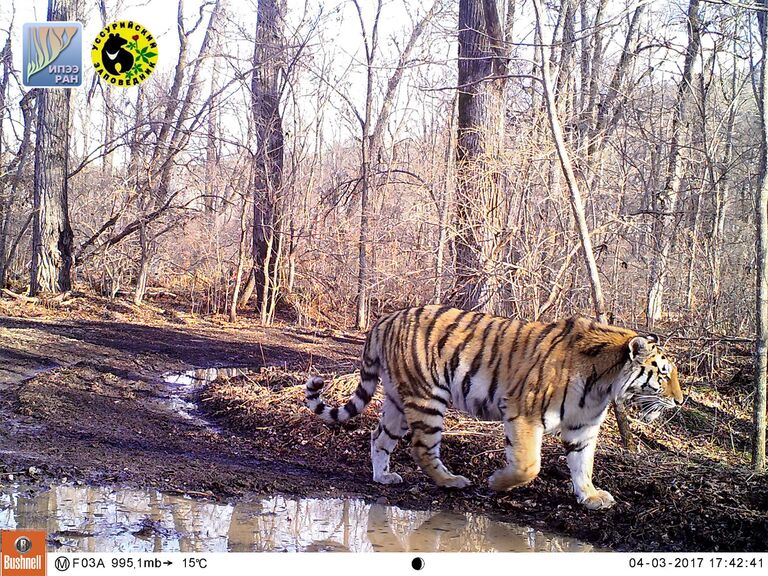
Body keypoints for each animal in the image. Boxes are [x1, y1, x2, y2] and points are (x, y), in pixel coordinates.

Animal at [304, 304, 680, 510]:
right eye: (663, 374)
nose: (679, 400)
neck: (602, 385)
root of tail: (384, 320)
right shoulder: (524, 413)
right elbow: (528, 466)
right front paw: (497, 482)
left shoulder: (582, 426)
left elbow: (582, 464)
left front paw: (589, 497)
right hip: (428, 398)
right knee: (422, 447)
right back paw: (451, 481)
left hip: (398, 399)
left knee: (379, 438)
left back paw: (383, 477)